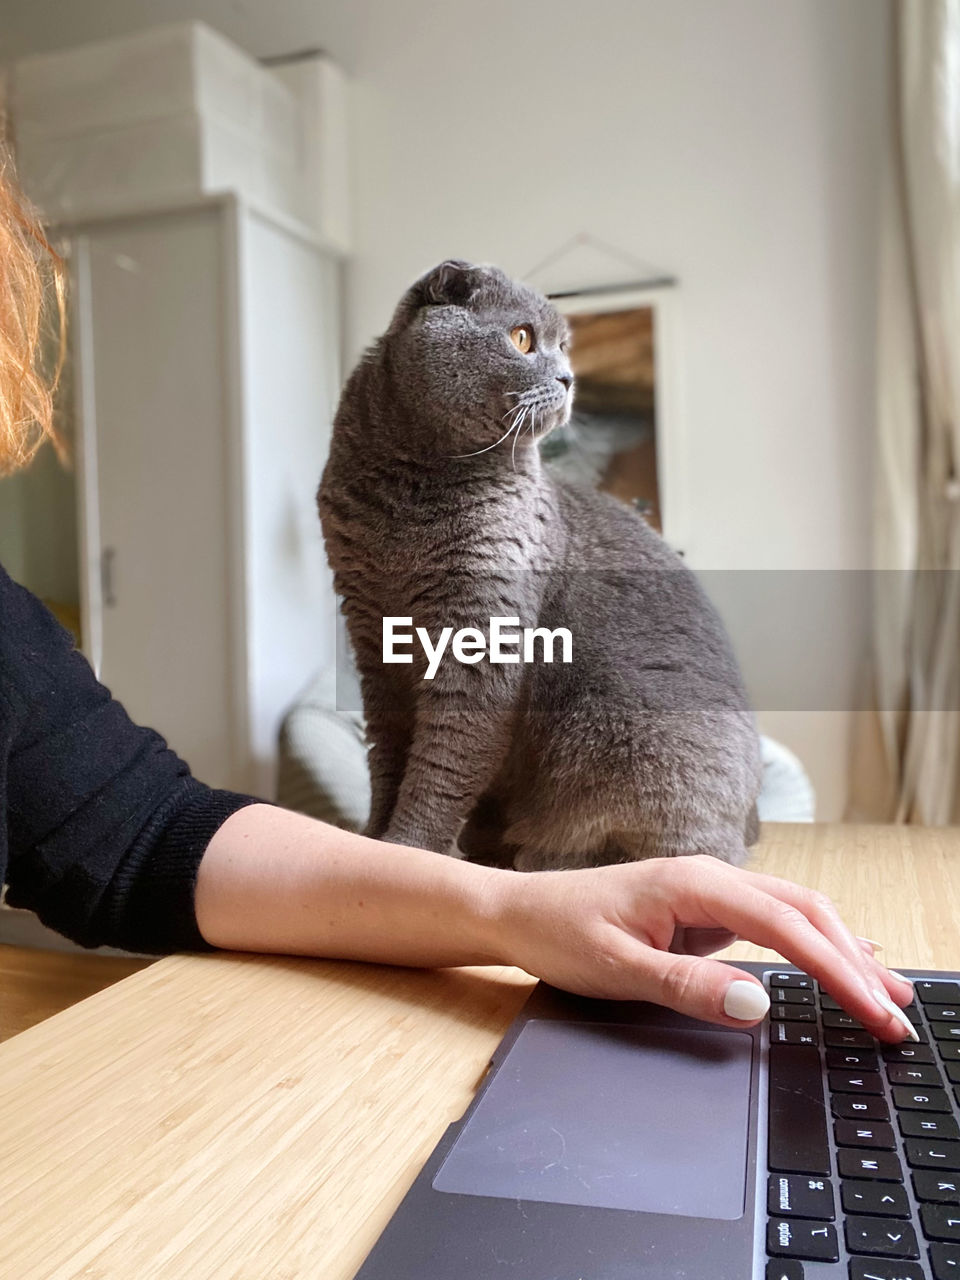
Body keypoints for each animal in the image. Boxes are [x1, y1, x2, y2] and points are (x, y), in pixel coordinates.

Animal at [320, 259, 762, 870]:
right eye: (523, 338)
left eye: (564, 347)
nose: (570, 377)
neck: (407, 508)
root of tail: (749, 822)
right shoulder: (372, 639)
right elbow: (387, 755)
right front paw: (369, 837)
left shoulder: (479, 638)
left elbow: (442, 761)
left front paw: (408, 848)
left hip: (629, 739)